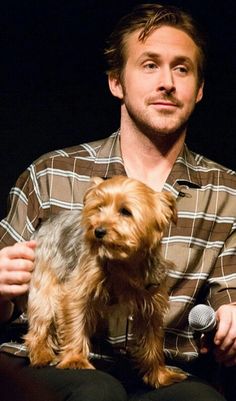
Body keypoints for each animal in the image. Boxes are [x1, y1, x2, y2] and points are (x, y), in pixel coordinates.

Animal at [24, 175, 186, 388]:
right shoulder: (76, 293)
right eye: (98, 208)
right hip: (45, 283)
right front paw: (75, 360)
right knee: (39, 323)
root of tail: (46, 223)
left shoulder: (151, 303)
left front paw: (160, 375)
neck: (124, 261)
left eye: (125, 211)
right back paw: (41, 355)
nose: (98, 231)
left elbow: (152, 342)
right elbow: (74, 325)